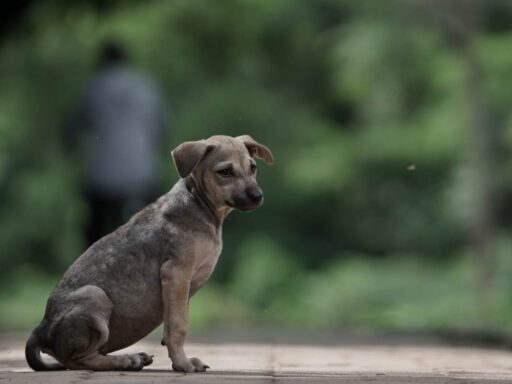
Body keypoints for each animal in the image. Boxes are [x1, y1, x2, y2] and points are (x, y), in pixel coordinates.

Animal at [25, 134, 272, 372]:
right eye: (225, 172)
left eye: (253, 167)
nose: (258, 196)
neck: (200, 205)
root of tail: (40, 330)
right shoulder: (176, 274)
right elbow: (179, 326)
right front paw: (182, 364)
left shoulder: (183, 288)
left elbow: (174, 323)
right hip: (95, 296)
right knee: (78, 360)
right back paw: (126, 360)